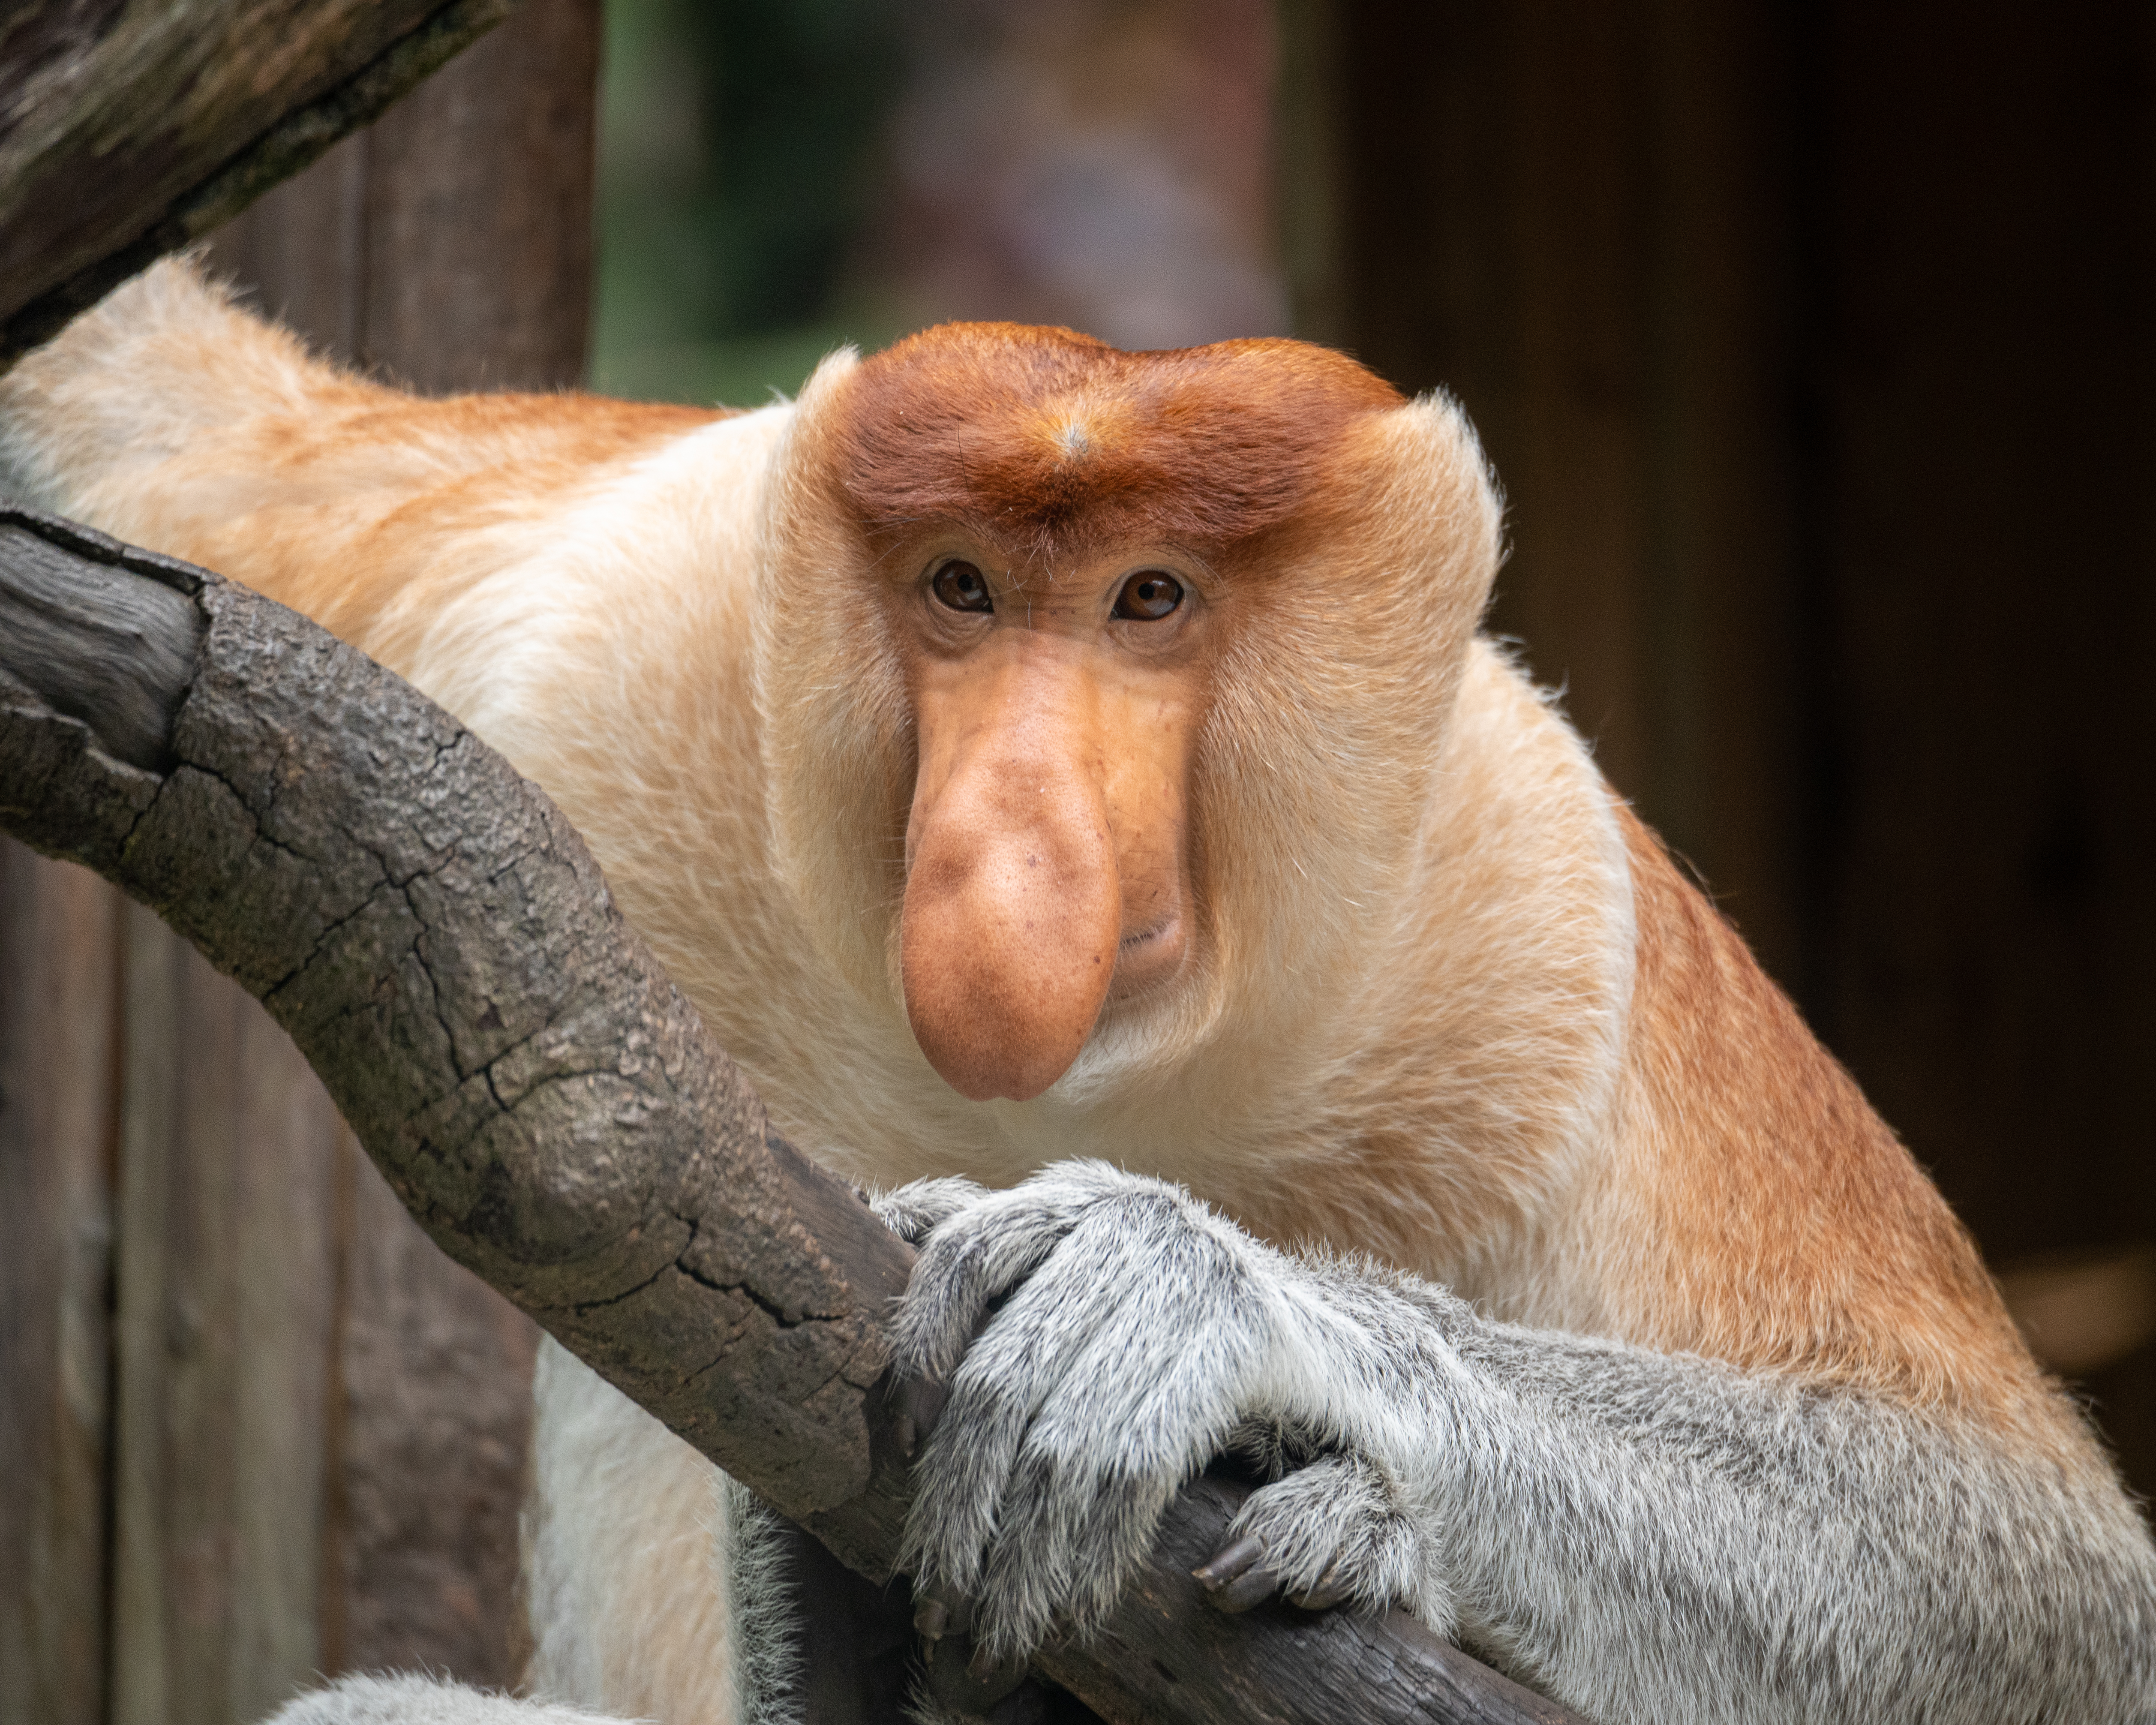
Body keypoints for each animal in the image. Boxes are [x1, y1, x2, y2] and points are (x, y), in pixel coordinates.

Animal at [2, 257, 2153, 1725]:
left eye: (1149, 599)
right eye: (959, 589)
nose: (1004, 841)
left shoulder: (1552, 916)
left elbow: (2031, 1577)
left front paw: (1192, 1301)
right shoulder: (620, 596)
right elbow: (169, 436)